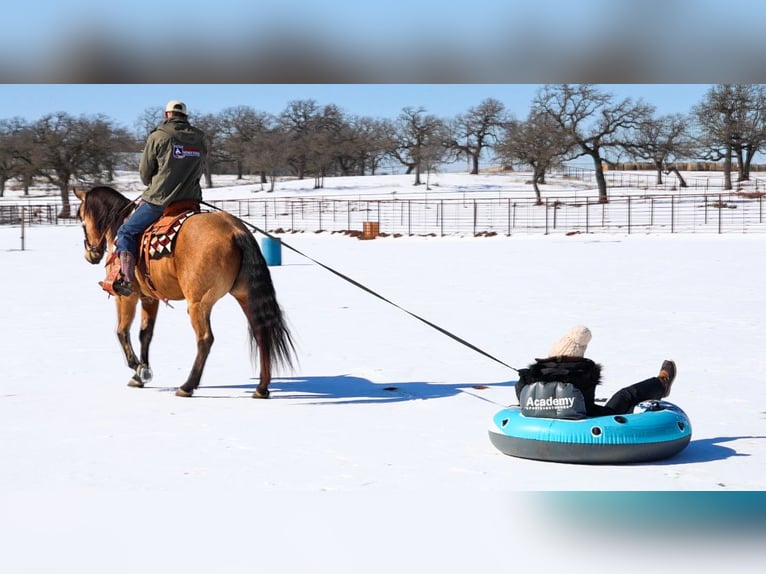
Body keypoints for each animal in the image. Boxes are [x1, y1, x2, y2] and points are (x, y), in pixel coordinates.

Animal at [74, 186, 295, 398]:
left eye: (82, 221)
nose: (90, 255)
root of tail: (235, 230)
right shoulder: (149, 299)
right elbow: (145, 334)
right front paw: (141, 373)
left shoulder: (126, 297)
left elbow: (122, 332)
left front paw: (138, 368)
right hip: (245, 294)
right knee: (260, 331)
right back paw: (261, 388)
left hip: (198, 302)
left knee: (205, 339)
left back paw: (188, 386)